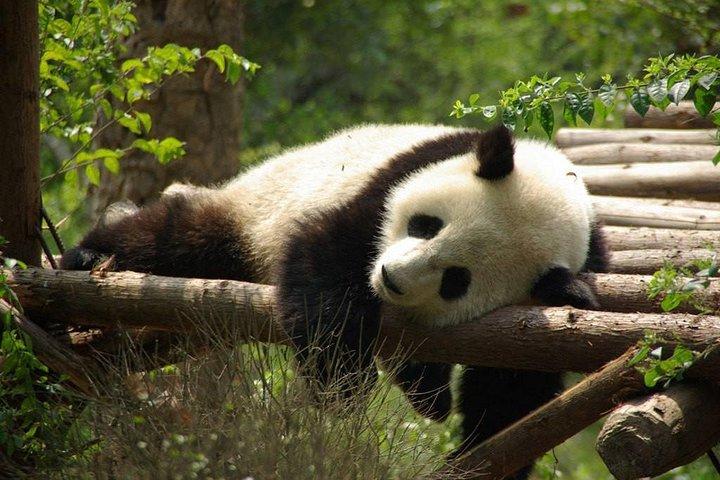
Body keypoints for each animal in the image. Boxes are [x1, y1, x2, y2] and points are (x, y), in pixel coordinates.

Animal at [61, 123, 608, 478]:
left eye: (457, 280)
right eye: (426, 225)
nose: (391, 277)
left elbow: (513, 382)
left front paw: (477, 454)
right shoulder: (392, 181)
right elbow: (328, 255)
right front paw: (341, 387)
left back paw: (430, 396)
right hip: (254, 209)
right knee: (177, 235)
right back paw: (90, 255)